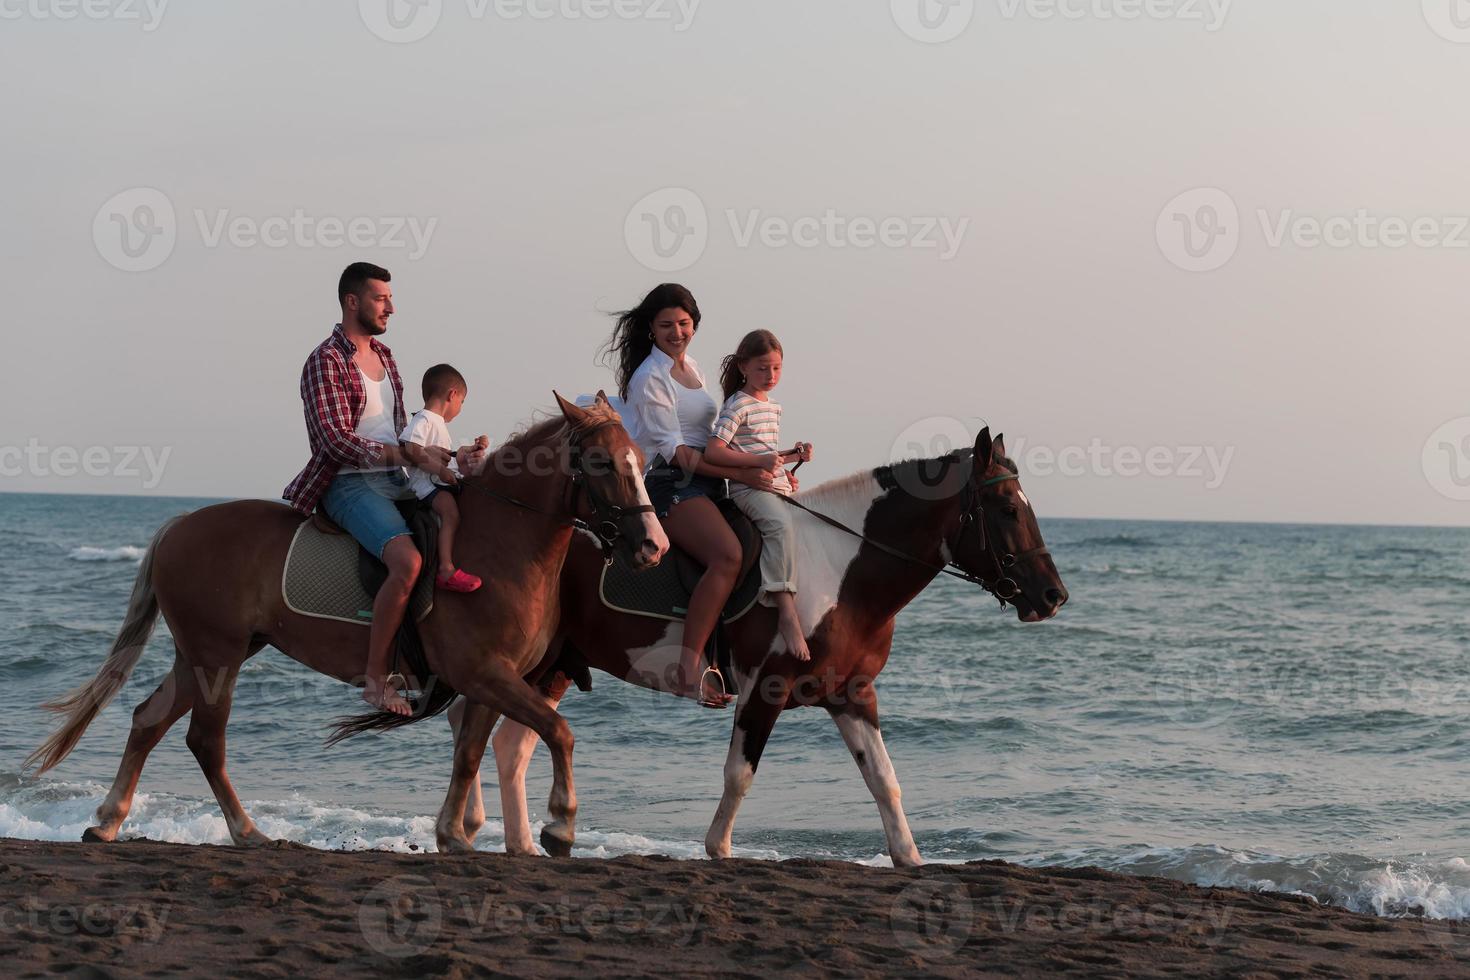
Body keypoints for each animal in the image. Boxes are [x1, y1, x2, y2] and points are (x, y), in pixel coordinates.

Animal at [25, 390, 667, 852]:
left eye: (640, 462)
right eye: (603, 462)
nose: (652, 547)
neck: (499, 545)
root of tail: (178, 525)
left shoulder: (492, 680)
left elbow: (469, 754)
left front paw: (452, 835)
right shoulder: (487, 674)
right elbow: (559, 732)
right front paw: (559, 825)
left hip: (206, 654)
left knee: (148, 720)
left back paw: (108, 821)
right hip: (218, 656)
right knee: (204, 740)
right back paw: (247, 832)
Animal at [446, 429, 1070, 863]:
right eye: (1008, 509)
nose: (1053, 594)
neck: (839, 571)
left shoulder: (852, 695)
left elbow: (884, 780)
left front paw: (909, 856)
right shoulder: (764, 690)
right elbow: (739, 773)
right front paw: (718, 849)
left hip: (552, 667)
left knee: (510, 745)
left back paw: (523, 841)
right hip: (533, 664)